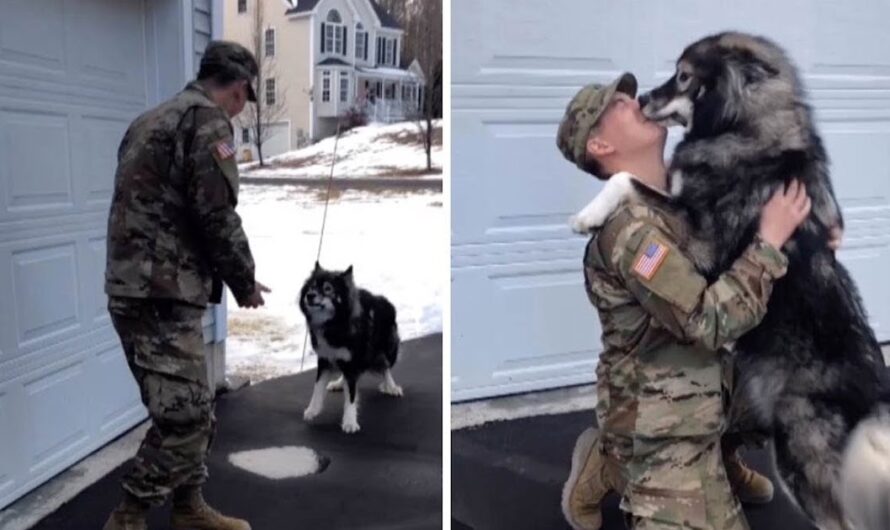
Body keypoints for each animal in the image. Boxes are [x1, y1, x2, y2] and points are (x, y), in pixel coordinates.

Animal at [298, 262, 398, 432]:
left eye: (328, 288)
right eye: (312, 286)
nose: (309, 295)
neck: (334, 324)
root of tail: (384, 300)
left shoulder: (352, 362)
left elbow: (351, 395)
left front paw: (350, 421)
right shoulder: (325, 359)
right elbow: (317, 387)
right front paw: (313, 409)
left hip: (386, 349)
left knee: (385, 367)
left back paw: (391, 386)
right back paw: (339, 383)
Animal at [572, 33, 884, 528]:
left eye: (683, 77)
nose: (641, 99)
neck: (744, 132)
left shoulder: (701, 247)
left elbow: (626, 179)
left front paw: (587, 216)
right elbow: (636, 180)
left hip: (799, 458)